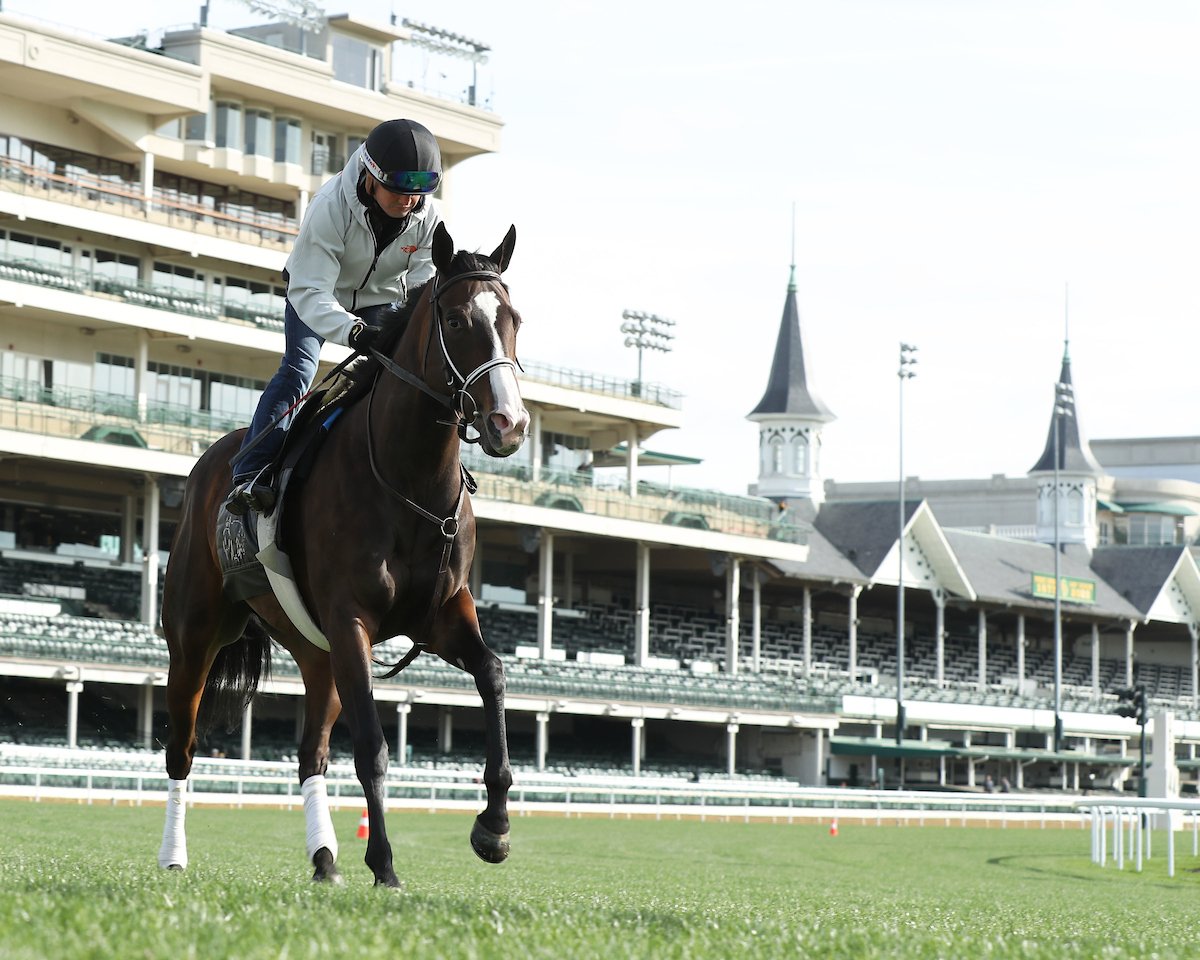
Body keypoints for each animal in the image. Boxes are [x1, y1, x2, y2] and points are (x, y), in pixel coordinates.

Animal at [158, 223, 530, 883]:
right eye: (456, 320)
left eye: (514, 318)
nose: (508, 423)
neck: (409, 481)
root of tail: (213, 461)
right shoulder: (351, 618)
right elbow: (374, 749)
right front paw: (384, 864)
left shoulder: (440, 613)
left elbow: (493, 673)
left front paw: (494, 827)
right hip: (196, 632)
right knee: (183, 742)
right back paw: (174, 857)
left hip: (317, 653)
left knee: (311, 753)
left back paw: (324, 859)